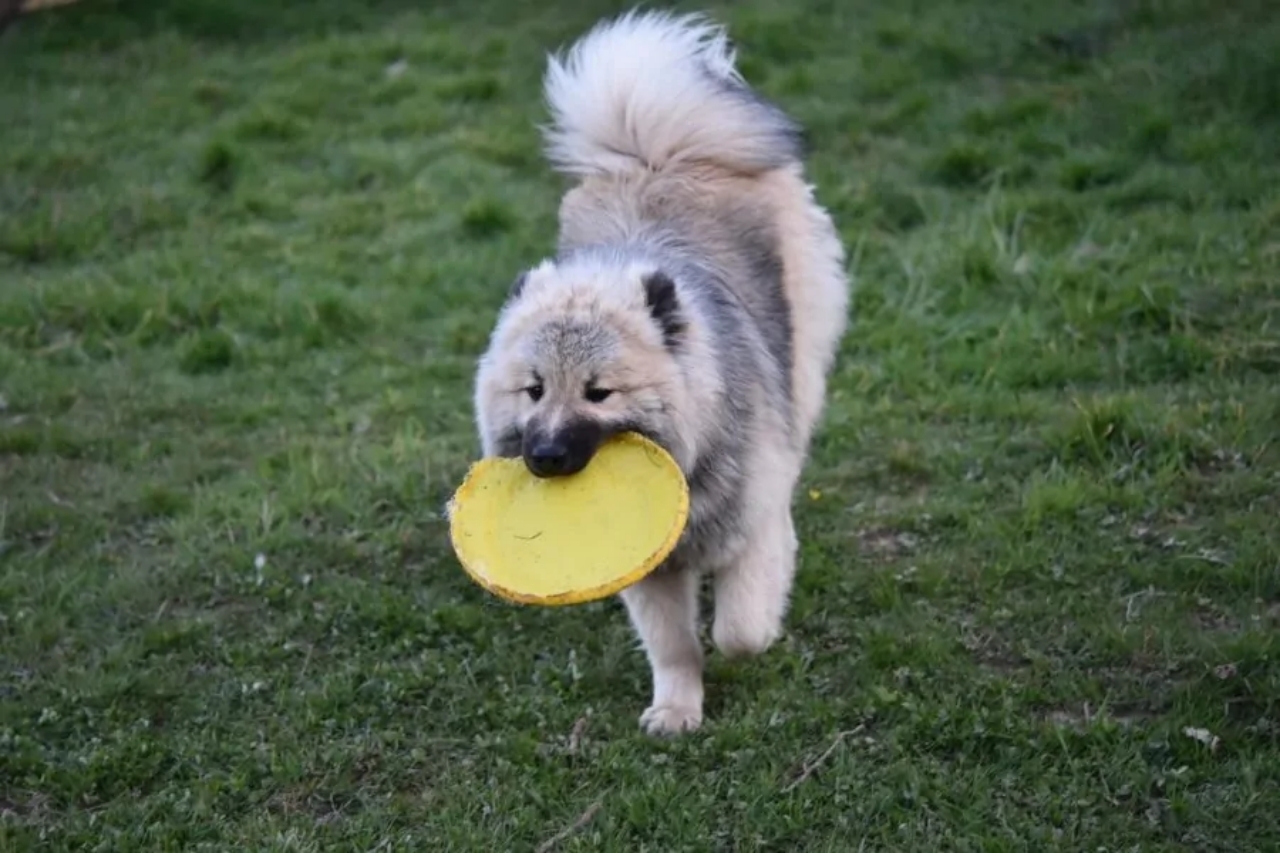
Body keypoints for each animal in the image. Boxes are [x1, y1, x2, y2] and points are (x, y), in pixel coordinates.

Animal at [471, 8, 849, 732]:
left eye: (598, 392)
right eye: (534, 390)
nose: (544, 458)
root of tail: (658, 152)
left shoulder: (745, 523)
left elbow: (739, 629)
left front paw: (749, 640)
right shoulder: (651, 568)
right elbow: (673, 642)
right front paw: (676, 708)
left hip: (805, 360)